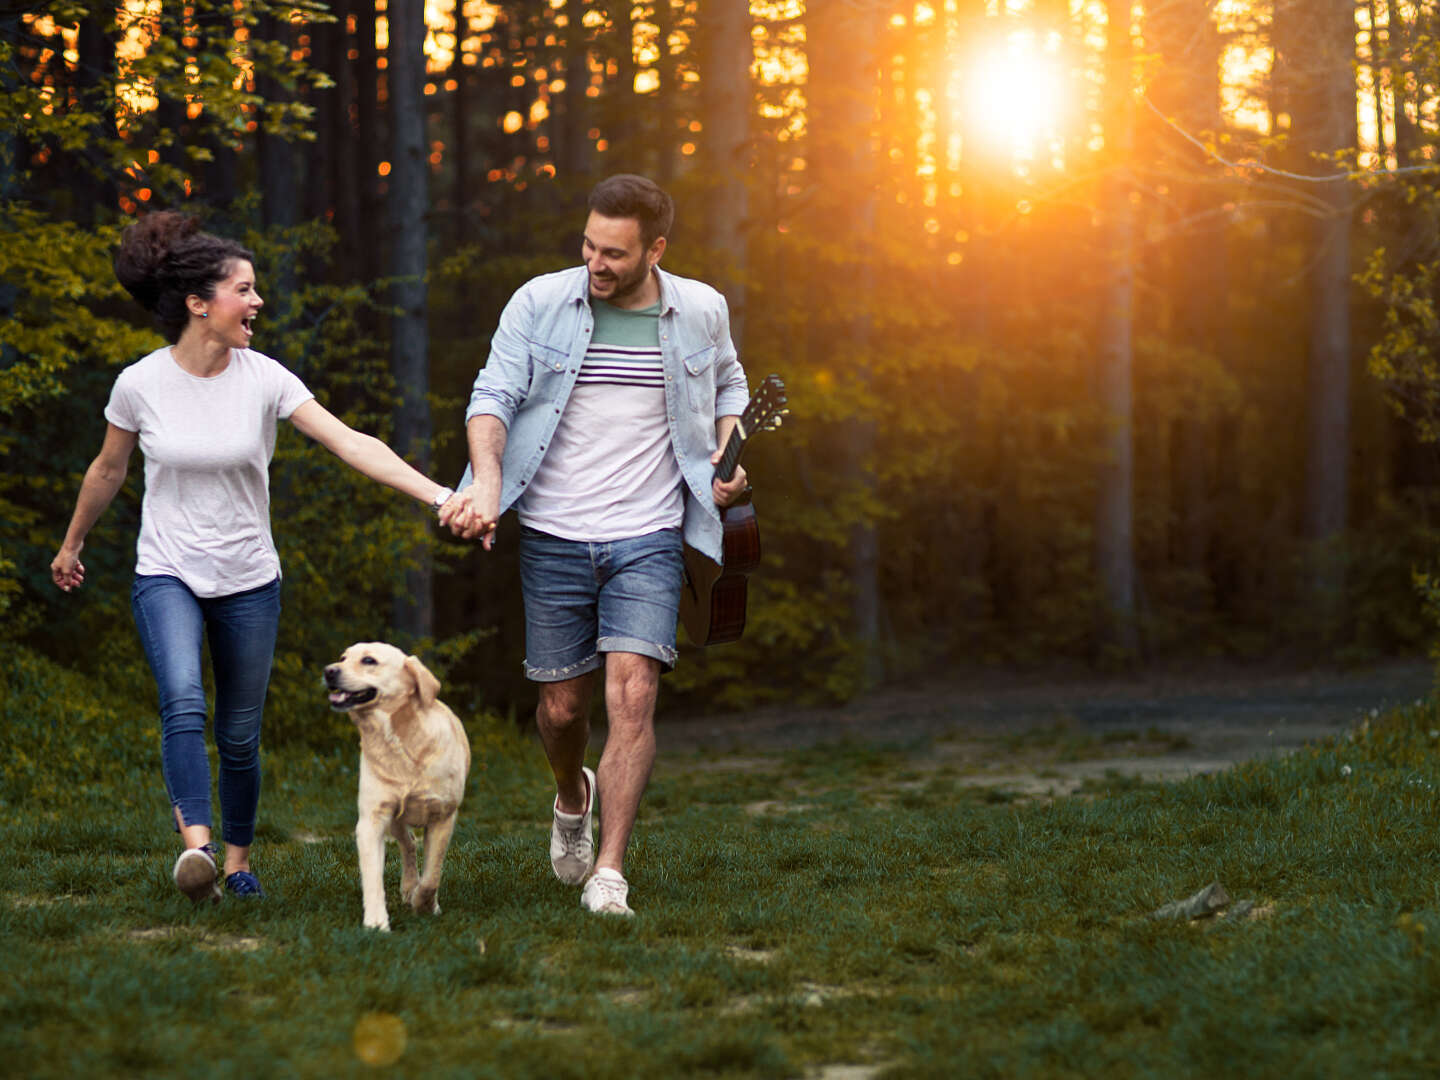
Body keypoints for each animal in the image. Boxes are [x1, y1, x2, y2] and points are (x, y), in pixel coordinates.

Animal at [324, 642, 469, 933]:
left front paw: (424, 904)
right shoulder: (372, 819)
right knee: (409, 844)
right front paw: (376, 921)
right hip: (396, 820)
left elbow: (432, 875)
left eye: (369, 660)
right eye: (343, 658)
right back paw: (407, 885)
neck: (397, 740)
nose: (329, 671)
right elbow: (372, 876)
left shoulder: (443, 816)